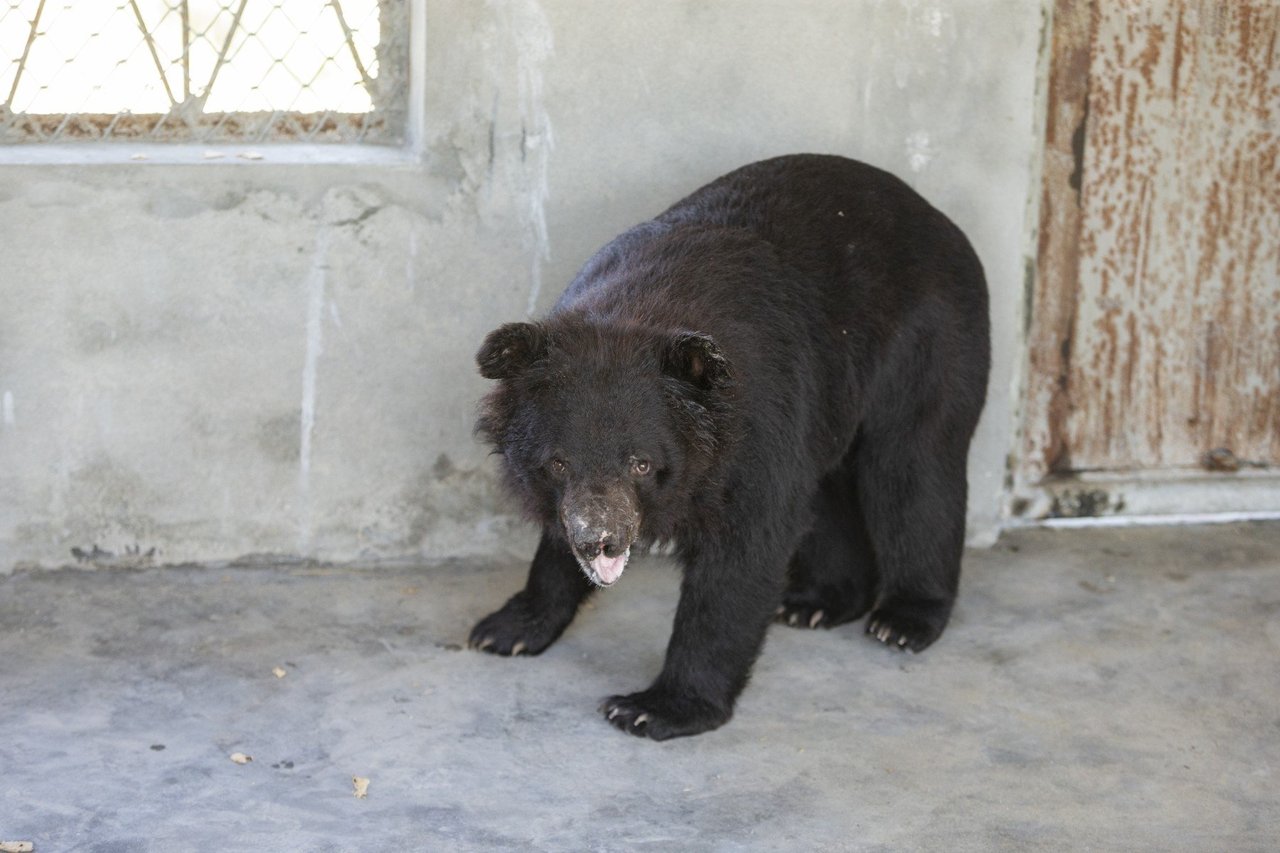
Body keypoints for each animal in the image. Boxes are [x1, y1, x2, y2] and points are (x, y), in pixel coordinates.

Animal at [471, 153, 988, 737]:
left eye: (641, 464)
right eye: (557, 463)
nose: (600, 540)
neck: (638, 311)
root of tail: (937, 217)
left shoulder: (760, 420)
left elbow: (745, 551)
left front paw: (653, 707)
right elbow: (554, 545)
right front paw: (505, 630)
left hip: (932, 338)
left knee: (913, 467)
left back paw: (903, 620)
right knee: (828, 486)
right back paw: (817, 602)